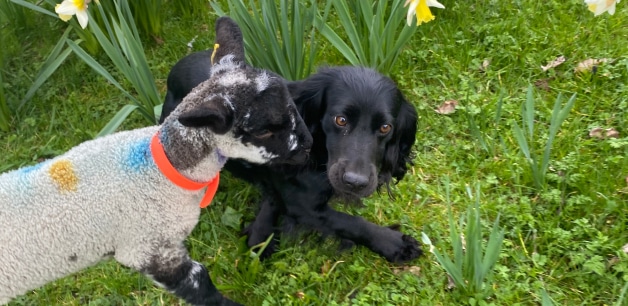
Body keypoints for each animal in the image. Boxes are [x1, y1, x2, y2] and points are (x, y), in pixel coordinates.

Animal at [0, 17, 312, 306]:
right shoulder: (149, 246)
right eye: (264, 130)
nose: (308, 144)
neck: (162, 169)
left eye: (291, 101)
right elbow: (201, 282)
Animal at [161, 53, 422, 262]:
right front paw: (394, 243)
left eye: (386, 127)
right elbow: (352, 223)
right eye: (340, 120)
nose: (355, 182)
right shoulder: (305, 206)